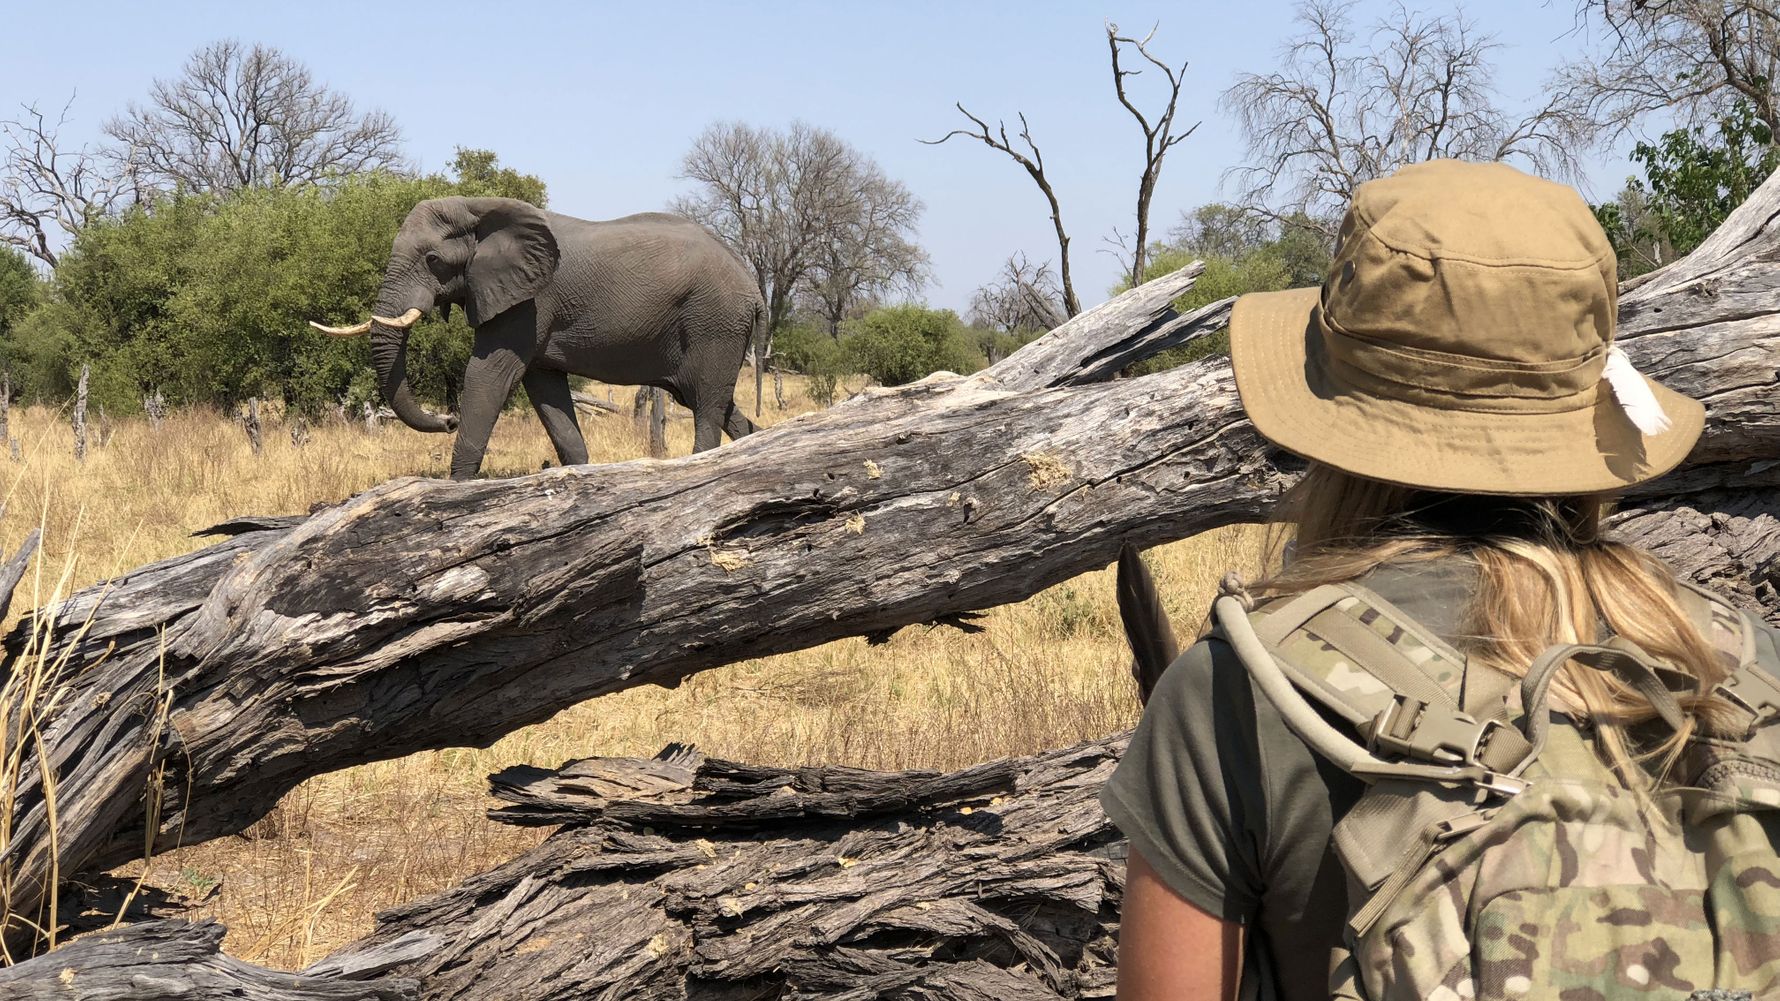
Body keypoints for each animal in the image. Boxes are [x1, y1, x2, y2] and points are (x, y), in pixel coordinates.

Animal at [311, 196, 758, 477]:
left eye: (433, 259)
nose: (447, 419)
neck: (478, 206)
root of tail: (752, 285)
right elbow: (544, 389)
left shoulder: (528, 303)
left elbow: (487, 375)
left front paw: (457, 488)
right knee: (715, 404)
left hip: (714, 324)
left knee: (706, 407)